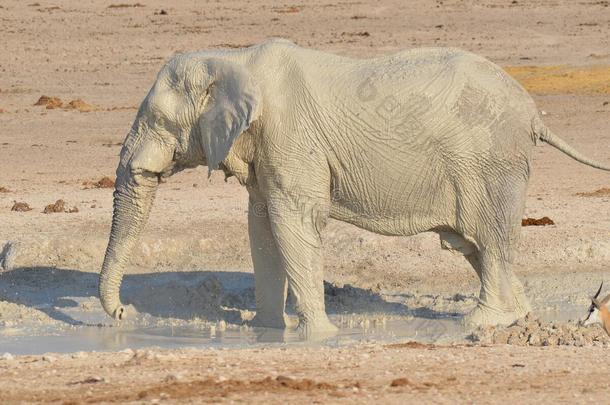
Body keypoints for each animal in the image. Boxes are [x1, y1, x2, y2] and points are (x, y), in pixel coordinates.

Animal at [100, 38, 608, 334]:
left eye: (157, 120)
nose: (126, 314)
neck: (231, 60)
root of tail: (535, 114)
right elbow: (261, 228)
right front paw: (267, 331)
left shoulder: (292, 137)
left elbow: (293, 223)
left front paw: (318, 337)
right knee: (472, 245)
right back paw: (515, 315)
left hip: (491, 162)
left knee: (489, 238)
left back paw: (479, 320)